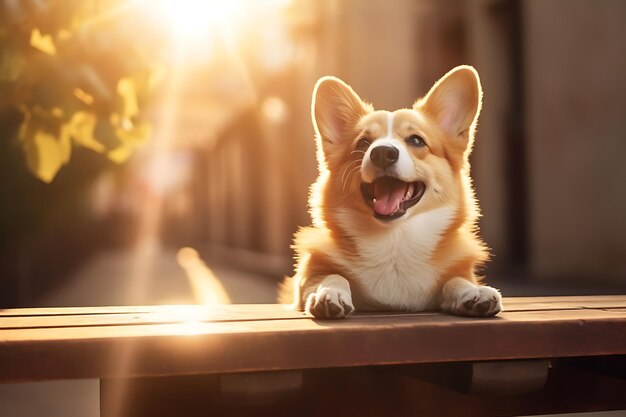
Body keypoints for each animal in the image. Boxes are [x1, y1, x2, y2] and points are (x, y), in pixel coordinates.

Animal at [282, 65, 502, 318]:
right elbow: (333, 276)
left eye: (416, 140)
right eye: (363, 143)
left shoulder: (458, 273)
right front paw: (329, 293)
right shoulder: (307, 279)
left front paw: (473, 292)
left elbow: (456, 280)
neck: (394, 241)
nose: (382, 153)